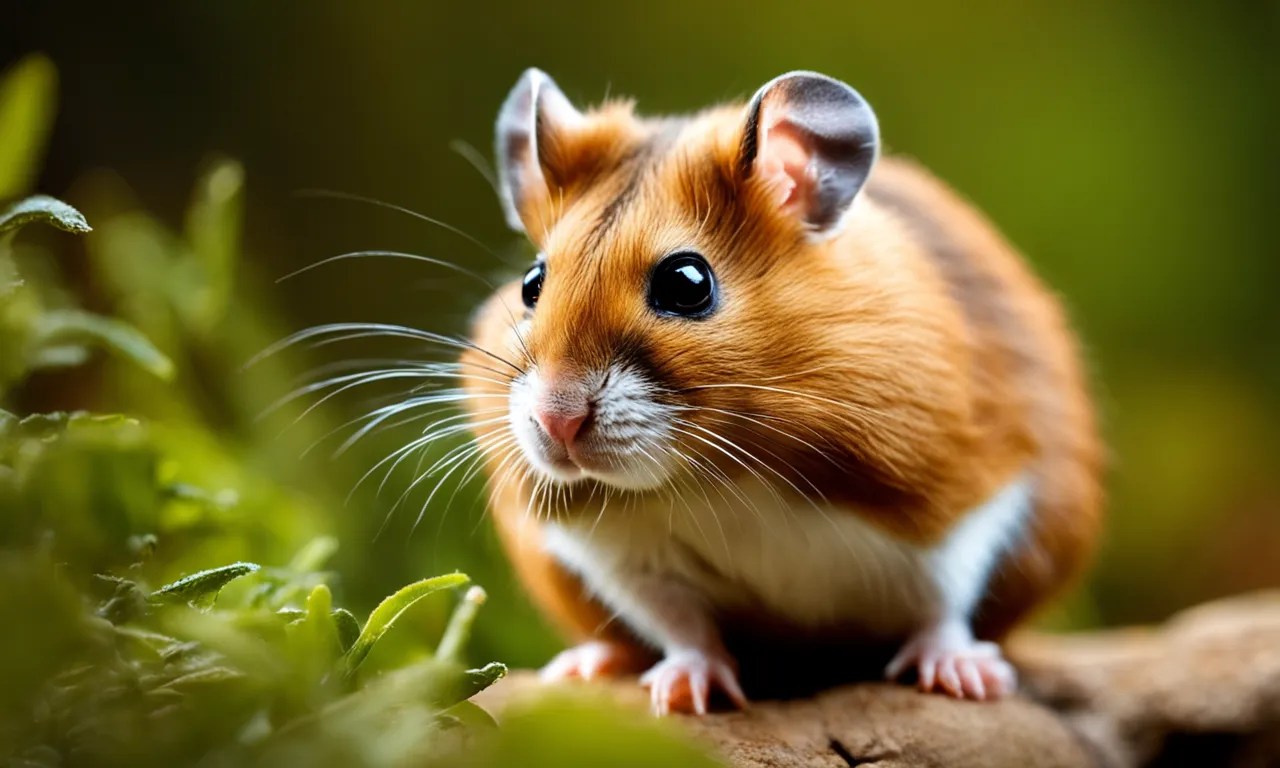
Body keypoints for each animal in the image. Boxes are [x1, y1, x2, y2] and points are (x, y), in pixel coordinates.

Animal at [460, 68, 1103, 715]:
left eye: (687, 282)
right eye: (532, 283)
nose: (557, 422)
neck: (722, 475)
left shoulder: (968, 500)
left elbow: (944, 603)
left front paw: (966, 679)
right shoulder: (621, 558)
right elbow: (681, 625)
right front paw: (683, 694)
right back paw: (585, 665)